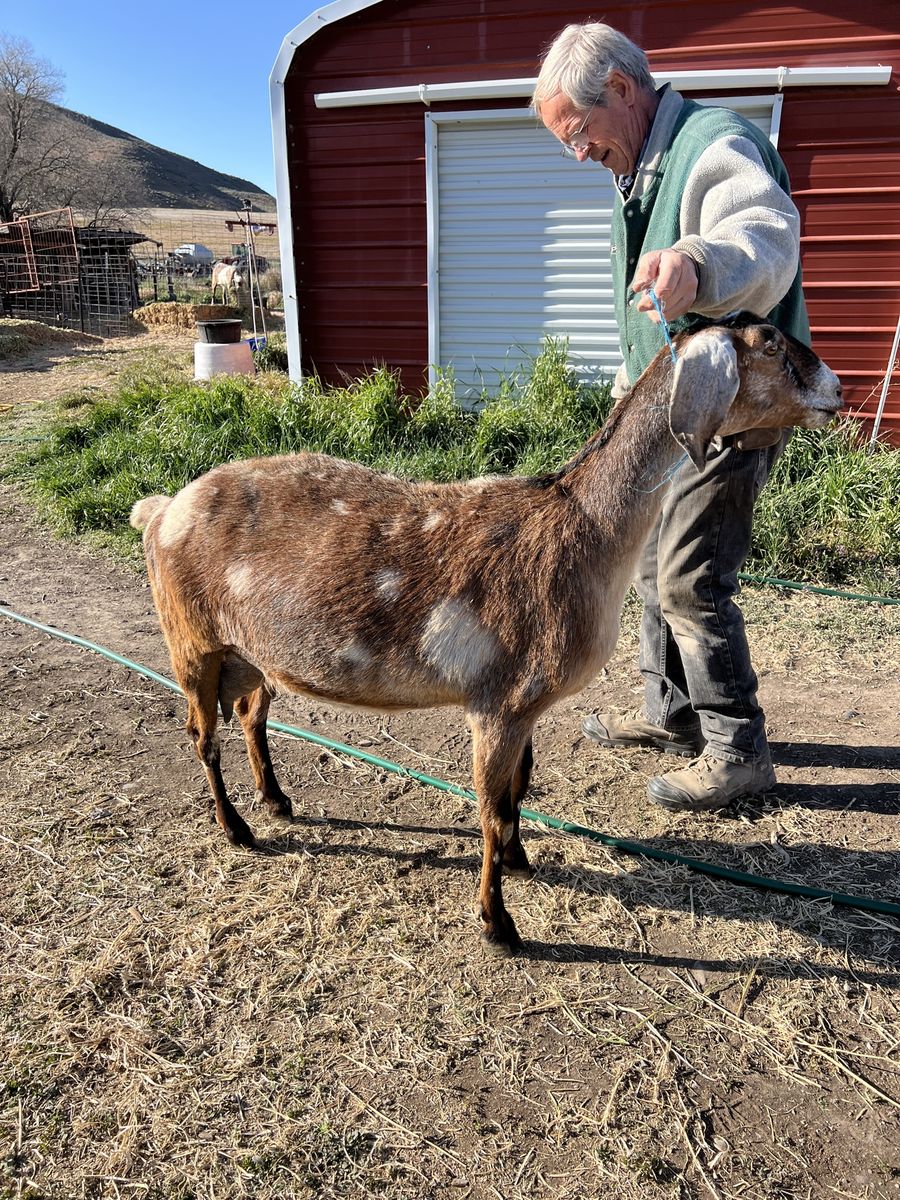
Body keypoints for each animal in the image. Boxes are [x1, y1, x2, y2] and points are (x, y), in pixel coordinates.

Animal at [130, 316, 842, 955]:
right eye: (770, 344)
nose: (836, 388)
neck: (581, 527)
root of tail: (163, 508)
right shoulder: (496, 702)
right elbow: (490, 809)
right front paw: (498, 927)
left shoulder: (524, 706)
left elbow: (519, 789)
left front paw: (522, 860)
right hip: (191, 643)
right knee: (201, 735)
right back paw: (237, 830)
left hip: (252, 654)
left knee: (250, 714)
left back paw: (276, 802)